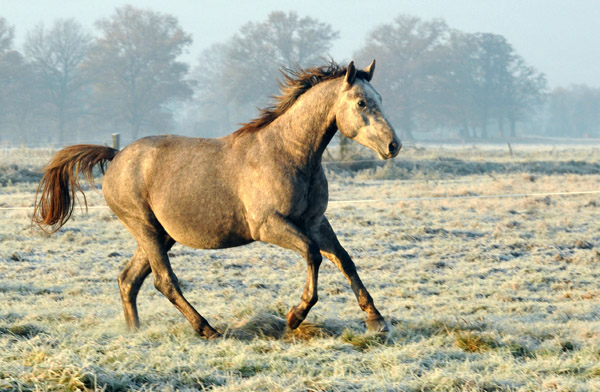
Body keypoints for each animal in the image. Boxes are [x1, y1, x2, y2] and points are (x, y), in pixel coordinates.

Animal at [31, 59, 398, 338]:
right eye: (362, 102)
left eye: (381, 97)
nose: (393, 145)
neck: (288, 154)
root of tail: (117, 154)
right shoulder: (269, 226)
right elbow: (313, 255)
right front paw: (295, 316)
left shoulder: (315, 221)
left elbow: (344, 260)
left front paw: (376, 319)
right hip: (144, 228)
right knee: (164, 281)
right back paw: (206, 329)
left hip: (161, 235)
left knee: (129, 280)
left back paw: (135, 332)